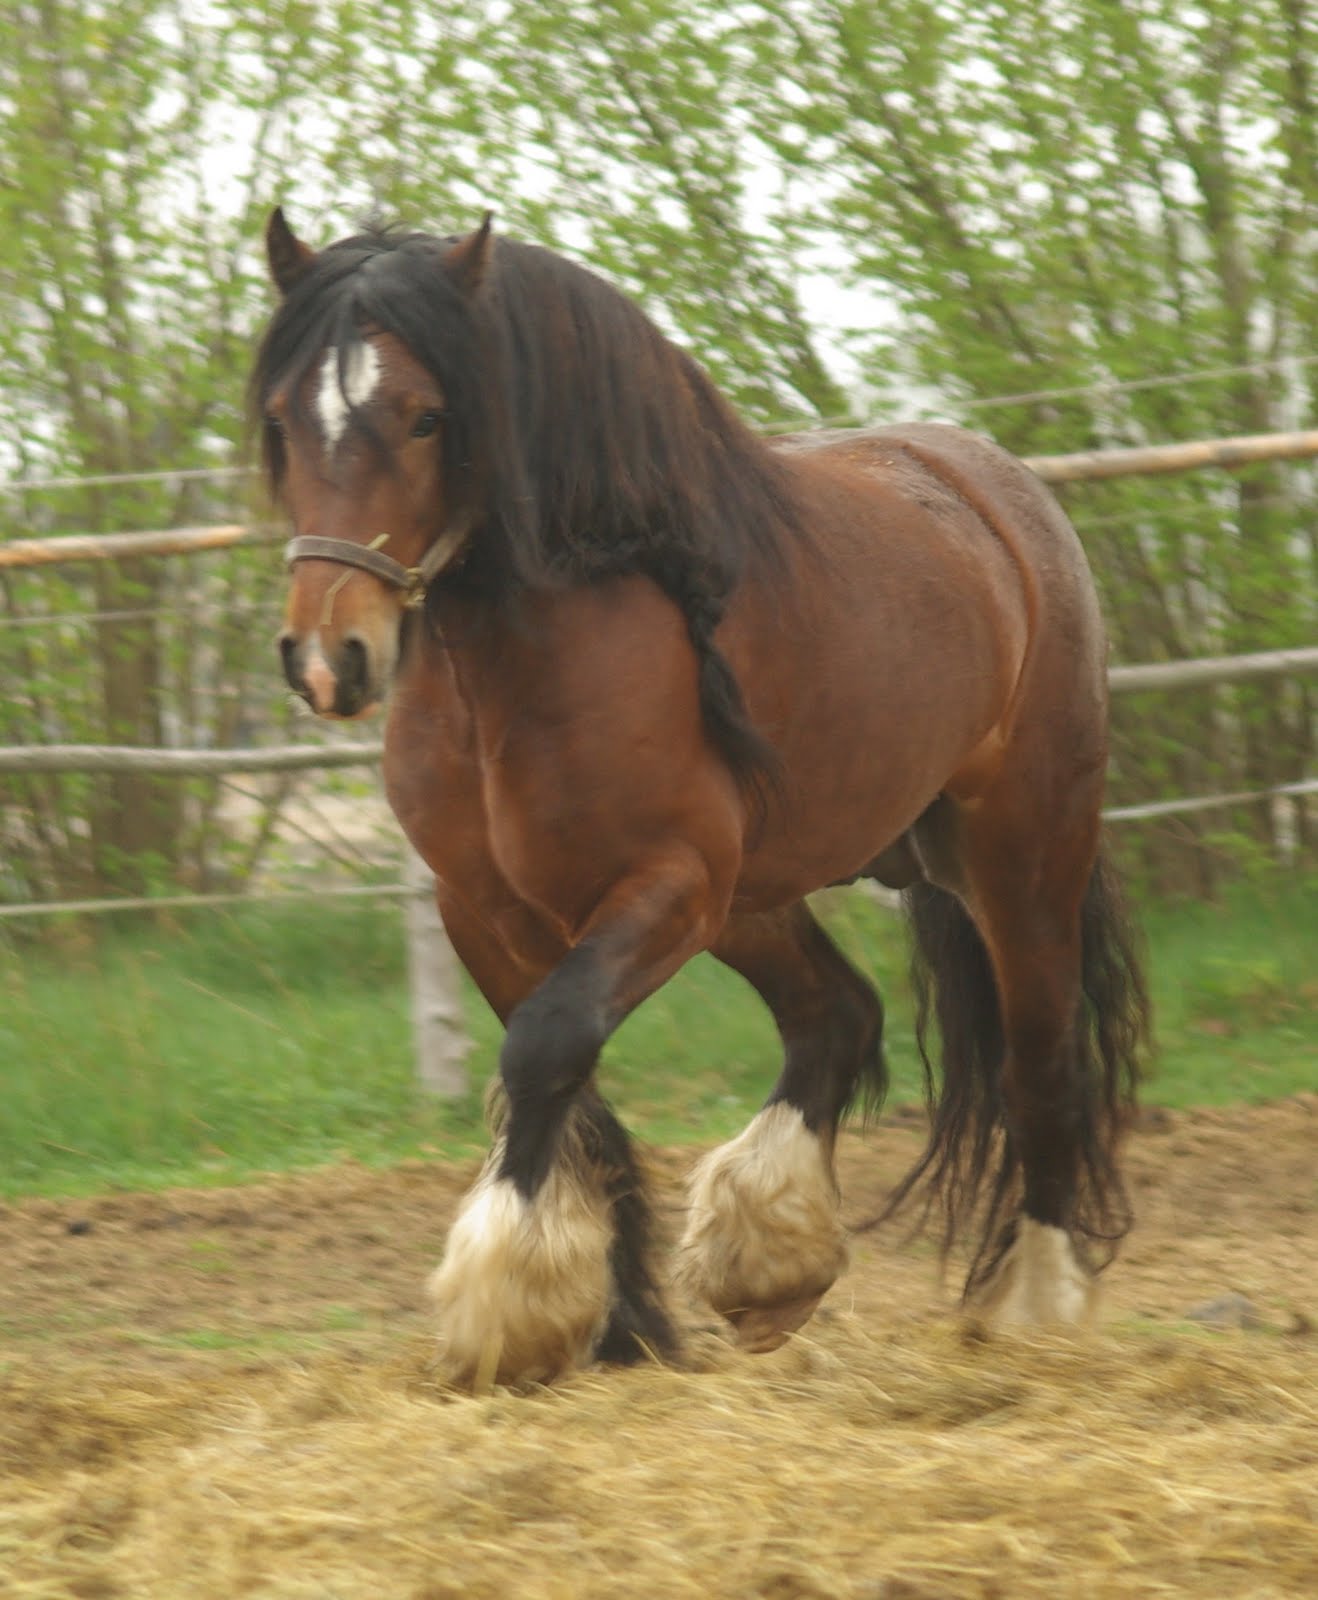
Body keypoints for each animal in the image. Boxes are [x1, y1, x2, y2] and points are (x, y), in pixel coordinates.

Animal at [255, 207, 1150, 1387]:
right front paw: (614, 1326)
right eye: (281, 416)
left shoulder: (665, 882)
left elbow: (546, 1046)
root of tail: (1002, 496)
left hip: (1015, 853)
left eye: (425, 416)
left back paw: (1033, 1308)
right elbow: (575, 1093)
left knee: (1041, 1059)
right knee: (835, 1013)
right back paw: (770, 1266)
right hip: (761, 893)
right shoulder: (484, 907)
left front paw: (504, 1302)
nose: (328, 659)